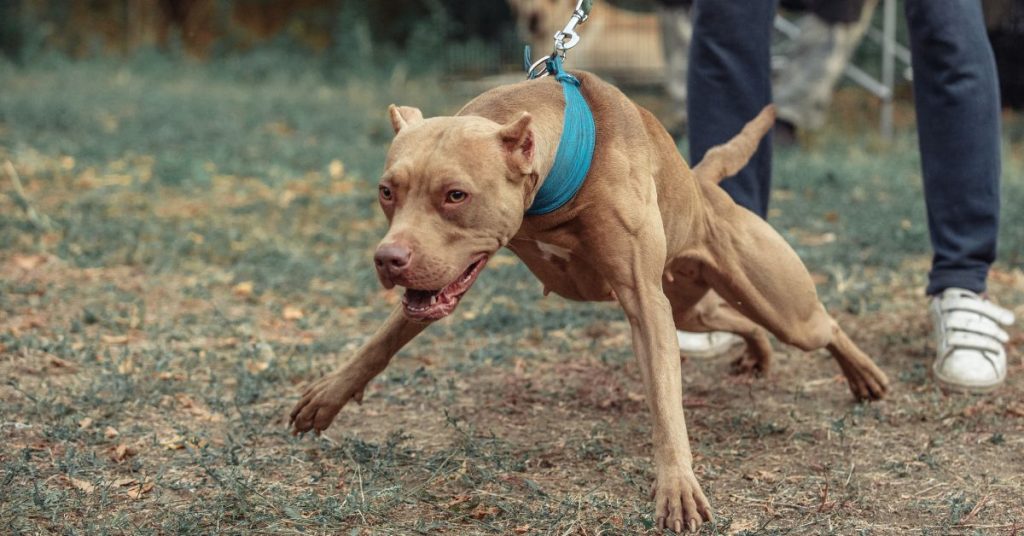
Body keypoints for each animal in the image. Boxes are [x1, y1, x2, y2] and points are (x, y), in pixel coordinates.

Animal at [290, 71, 888, 532]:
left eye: (455, 195)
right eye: (387, 191)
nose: (388, 259)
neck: (559, 179)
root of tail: (700, 184)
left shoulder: (646, 305)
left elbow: (666, 404)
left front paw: (677, 486)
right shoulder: (443, 277)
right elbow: (384, 338)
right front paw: (330, 394)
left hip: (778, 306)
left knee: (821, 325)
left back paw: (864, 375)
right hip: (690, 304)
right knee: (736, 319)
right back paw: (759, 353)